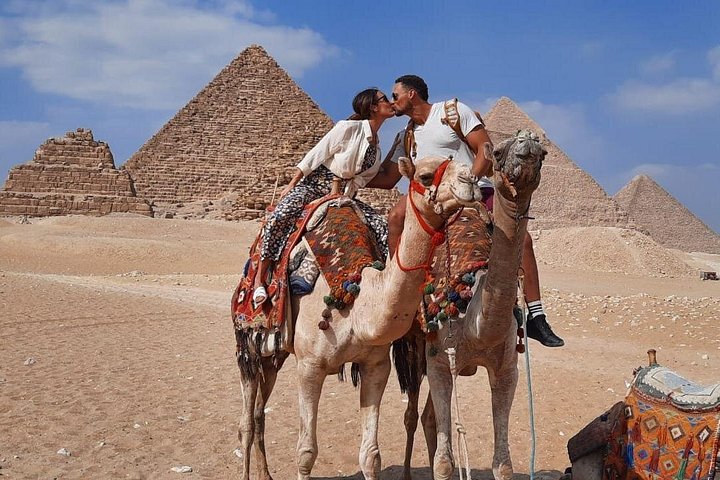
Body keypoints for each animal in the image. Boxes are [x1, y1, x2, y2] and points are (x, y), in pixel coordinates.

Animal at [235, 155, 485, 480]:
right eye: (426, 176)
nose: (472, 181)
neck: (356, 304)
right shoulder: (310, 367)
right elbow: (305, 453)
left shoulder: (376, 365)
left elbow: (370, 456)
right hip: (250, 343)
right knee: (246, 421)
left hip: (275, 354)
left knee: (258, 412)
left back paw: (265, 474)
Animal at [396, 130, 546, 480]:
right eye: (499, 152)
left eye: (543, 153)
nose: (528, 143)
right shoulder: (439, 362)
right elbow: (444, 463)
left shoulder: (507, 371)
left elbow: (503, 465)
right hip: (416, 351)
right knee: (412, 414)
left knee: (428, 418)